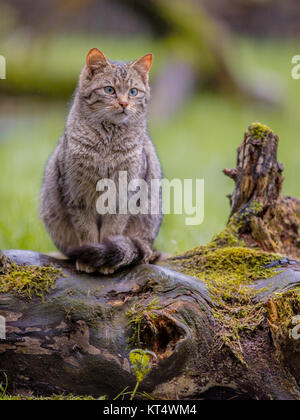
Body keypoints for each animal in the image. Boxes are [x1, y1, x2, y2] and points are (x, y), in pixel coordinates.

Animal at [40, 47, 163, 274]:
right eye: (109, 90)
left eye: (133, 92)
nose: (124, 103)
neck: (107, 145)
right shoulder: (77, 194)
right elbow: (86, 231)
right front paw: (89, 259)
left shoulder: (123, 196)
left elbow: (111, 231)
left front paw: (106, 261)